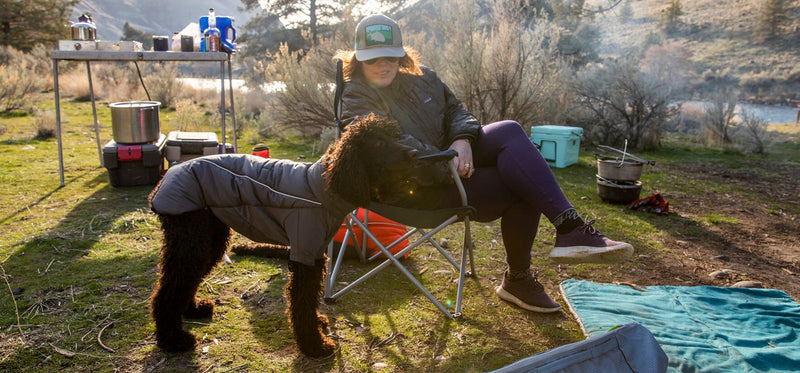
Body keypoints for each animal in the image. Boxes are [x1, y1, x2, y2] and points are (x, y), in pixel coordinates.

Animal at [148, 114, 418, 358]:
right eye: (379, 143)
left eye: (395, 136)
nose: (414, 153)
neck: (322, 186)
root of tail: (163, 182)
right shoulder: (304, 253)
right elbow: (302, 301)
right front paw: (314, 346)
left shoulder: (315, 253)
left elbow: (310, 299)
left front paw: (318, 324)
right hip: (190, 237)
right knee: (171, 286)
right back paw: (173, 339)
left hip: (209, 239)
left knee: (186, 279)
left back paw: (193, 309)